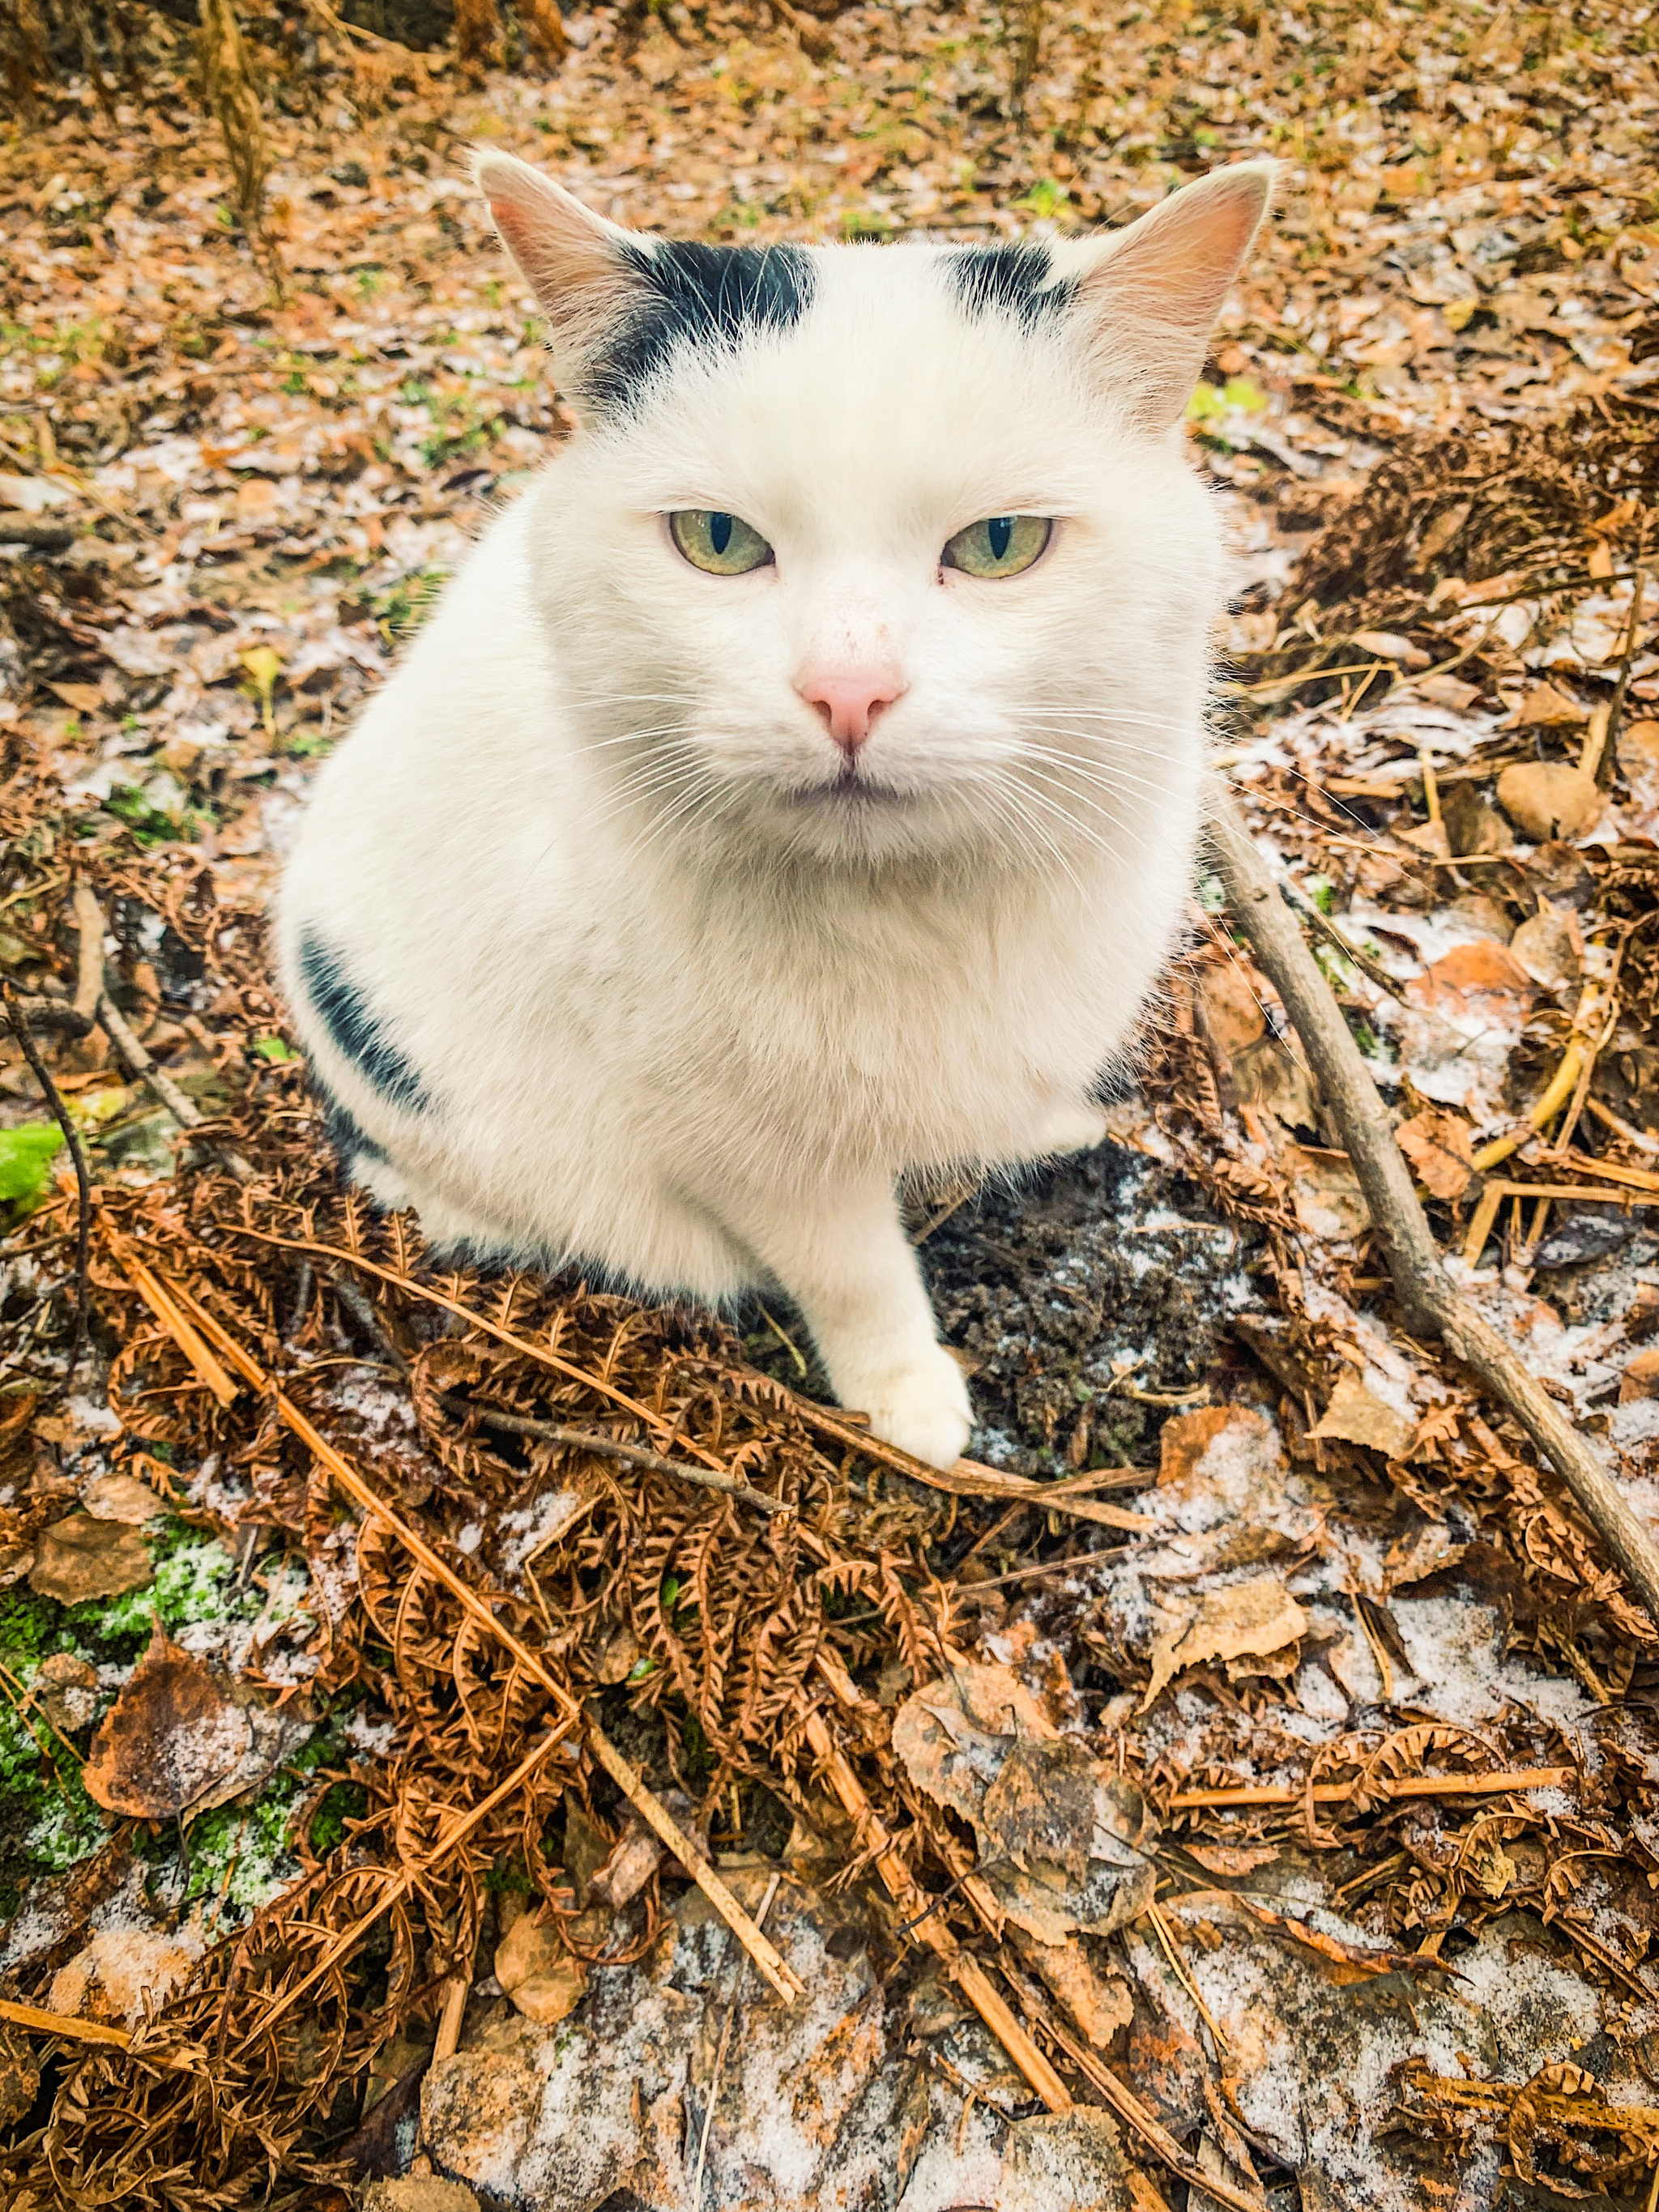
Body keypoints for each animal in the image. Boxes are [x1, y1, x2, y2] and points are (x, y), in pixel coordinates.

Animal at [279, 156, 1282, 1468]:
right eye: (716, 540)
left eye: (1000, 543)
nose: (846, 690)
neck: (908, 920)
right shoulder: (745, 1148)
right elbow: (851, 1270)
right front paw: (905, 1393)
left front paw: (1035, 1124)